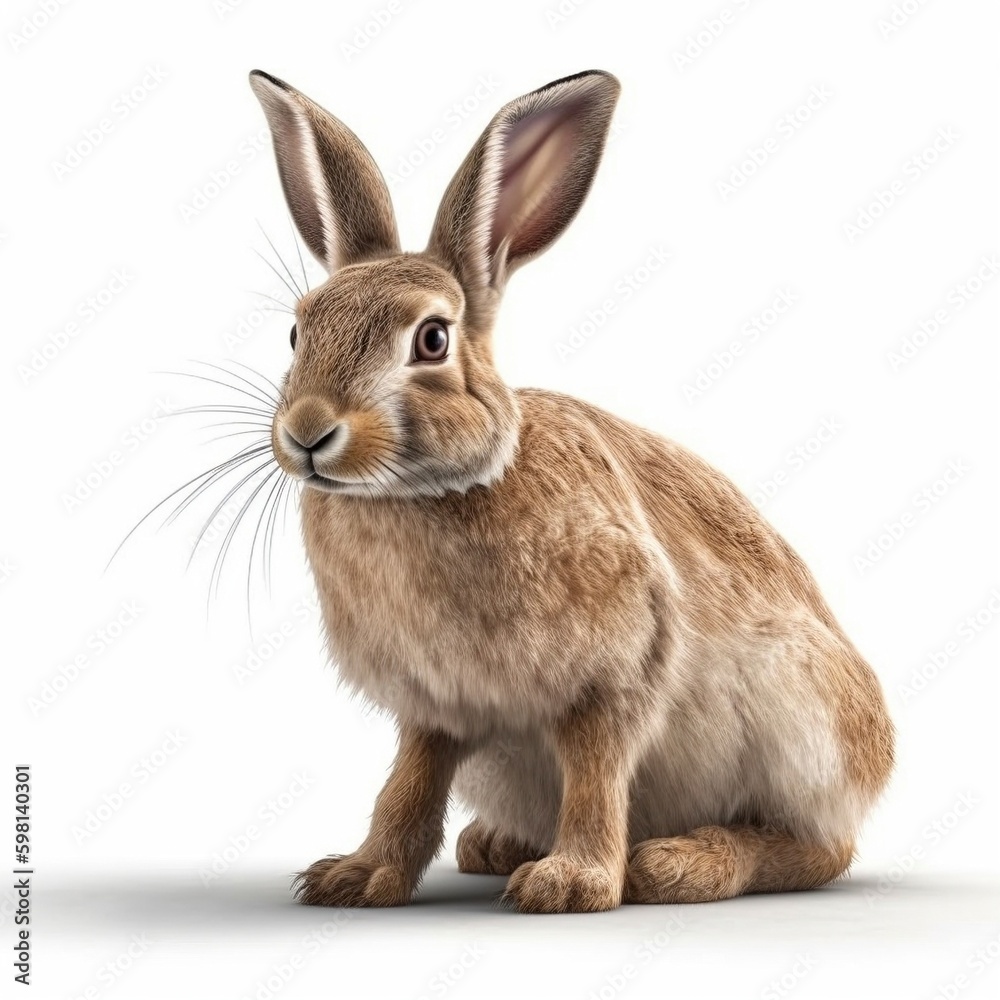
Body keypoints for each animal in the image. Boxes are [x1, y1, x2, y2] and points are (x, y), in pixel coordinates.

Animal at [248, 67, 894, 913]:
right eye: (298, 332)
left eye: (432, 339)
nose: (309, 431)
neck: (431, 491)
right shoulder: (434, 707)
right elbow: (409, 786)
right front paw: (356, 877)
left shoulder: (617, 670)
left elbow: (594, 772)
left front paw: (572, 883)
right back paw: (494, 844)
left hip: (801, 723)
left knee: (822, 849)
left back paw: (680, 863)